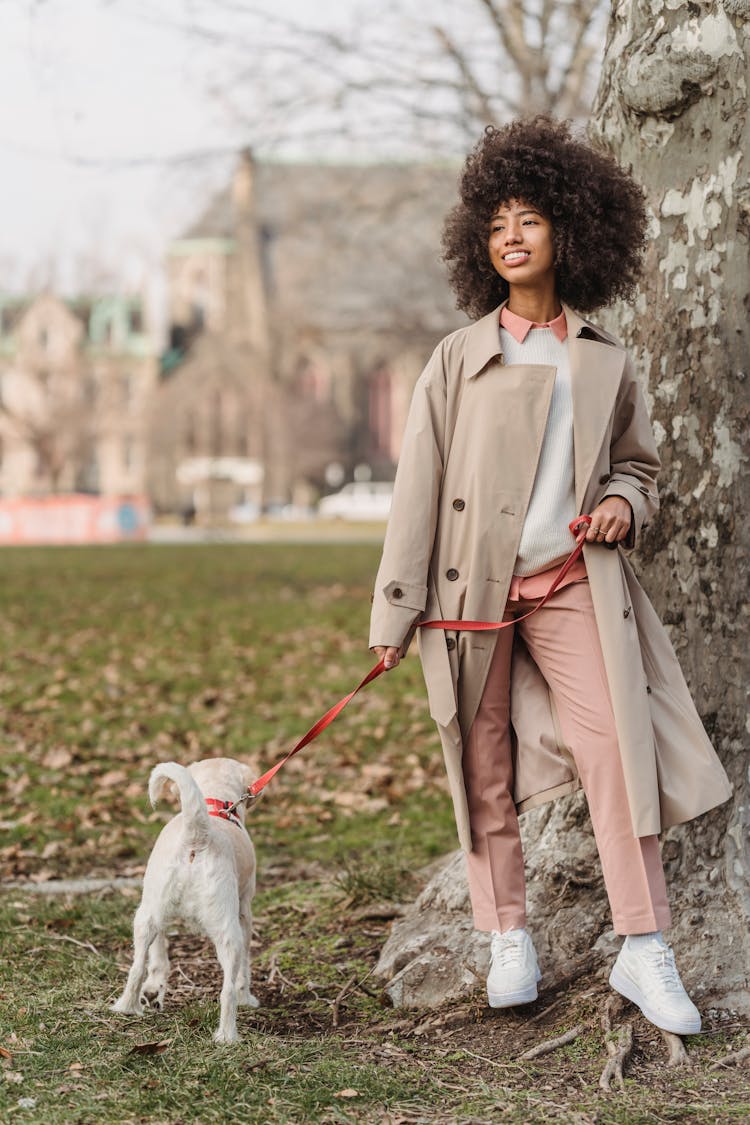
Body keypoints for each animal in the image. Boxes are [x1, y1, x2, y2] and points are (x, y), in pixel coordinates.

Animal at [110, 760, 258, 1039]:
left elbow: (157, 954)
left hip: (147, 916)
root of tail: (197, 835)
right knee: (230, 986)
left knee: (137, 968)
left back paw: (129, 1007)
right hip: (228, 927)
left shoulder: (157, 912)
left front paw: (154, 988)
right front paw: (248, 998)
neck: (213, 802)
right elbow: (245, 968)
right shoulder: (245, 911)